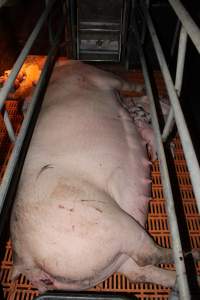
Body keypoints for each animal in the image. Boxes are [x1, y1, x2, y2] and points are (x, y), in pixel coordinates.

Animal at [9, 60, 200, 292]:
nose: (162, 97)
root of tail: (24, 259)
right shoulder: (101, 76)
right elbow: (125, 83)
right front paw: (142, 90)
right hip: (109, 219)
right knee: (147, 256)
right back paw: (191, 255)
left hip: (115, 255)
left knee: (139, 271)